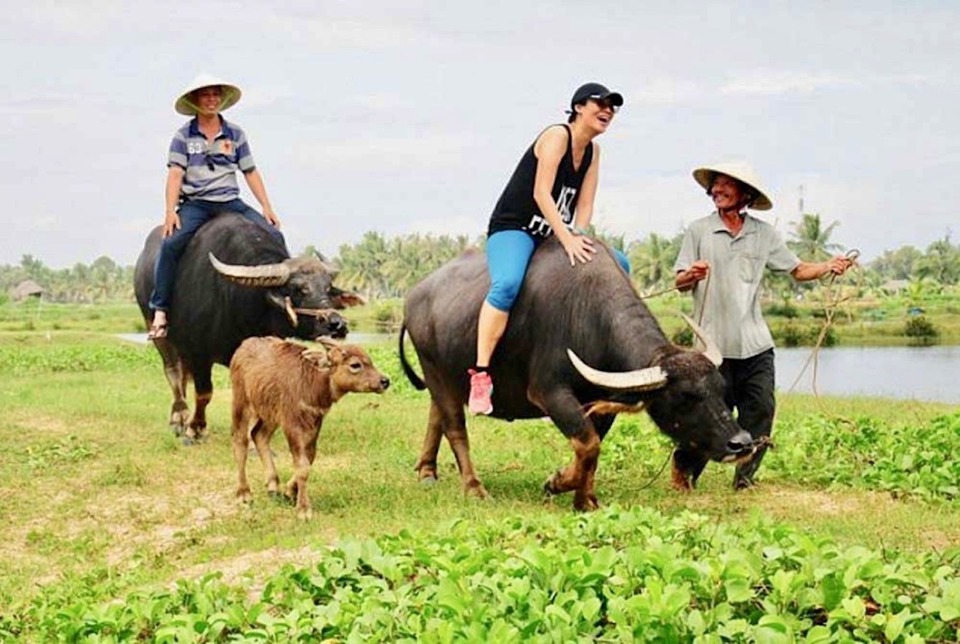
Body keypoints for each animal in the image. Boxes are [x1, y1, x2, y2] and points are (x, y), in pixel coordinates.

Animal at [133, 214, 362, 440]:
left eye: (328, 288)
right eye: (297, 289)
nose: (337, 325)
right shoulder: (199, 352)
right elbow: (204, 392)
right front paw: (196, 427)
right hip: (157, 330)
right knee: (172, 370)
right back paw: (179, 418)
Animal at [229, 338, 390, 520]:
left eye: (370, 360)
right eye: (355, 364)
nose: (385, 381)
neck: (313, 383)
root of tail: (242, 347)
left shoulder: (315, 422)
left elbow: (310, 458)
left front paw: (289, 492)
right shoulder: (292, 424)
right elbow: (303, 465)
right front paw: (303, 509)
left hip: (269, 413)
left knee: (259, 435)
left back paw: (273, 488)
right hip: (241, 403)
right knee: (240, 440)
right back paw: (244, 494)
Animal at [398, 235, 756, 508]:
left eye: (721, 390)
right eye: (685, 397)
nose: (741, 443)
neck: (588, 315)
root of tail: (414, 296)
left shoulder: (602, 399)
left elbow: (593, 446)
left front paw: (583, 495)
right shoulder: (549, 392)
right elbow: (587, 443)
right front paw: (560, 484)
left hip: (447, 378)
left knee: (437, 416)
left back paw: (427, 471)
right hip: (434, 370)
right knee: (455, 427)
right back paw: (473, 487)